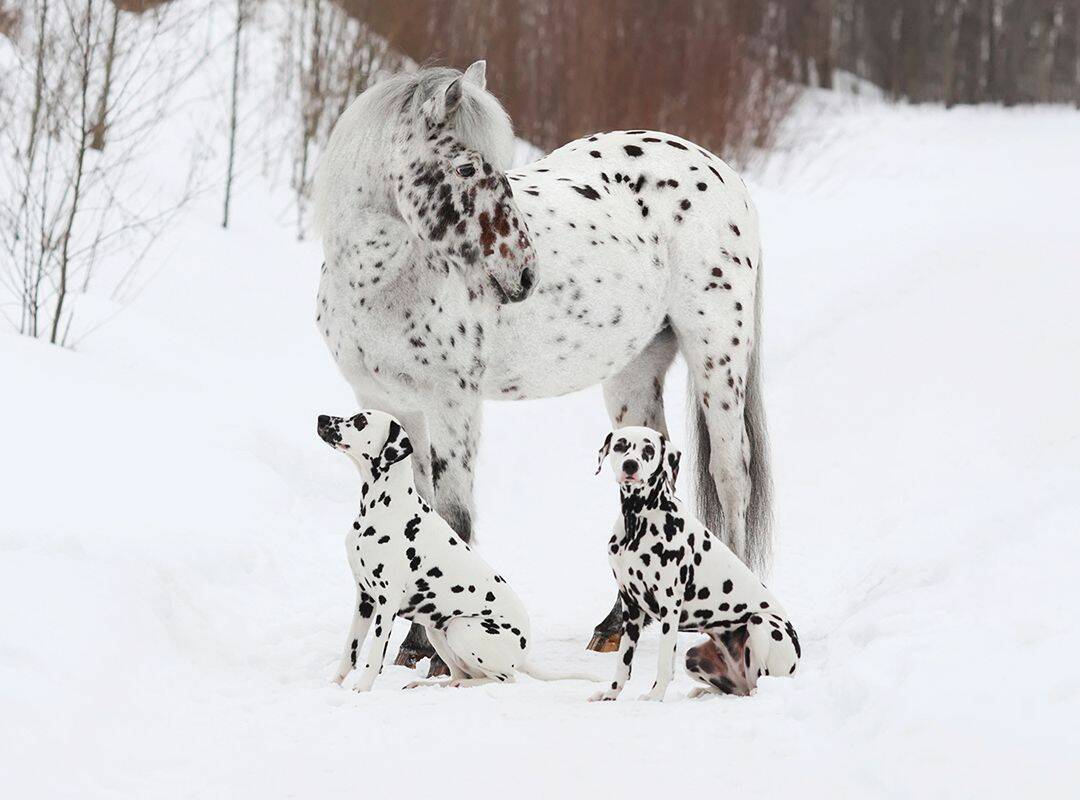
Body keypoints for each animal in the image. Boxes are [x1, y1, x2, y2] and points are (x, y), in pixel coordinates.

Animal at [319, 408, 591, 690]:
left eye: (361, 421)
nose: (321, 418)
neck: (384, 505)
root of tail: (523, 654)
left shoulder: (387, 601)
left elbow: (374, 655)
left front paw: (361, 689)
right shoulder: (365, 599)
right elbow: (350, 651)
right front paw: (334, 685)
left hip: (462, 629)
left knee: (505, 679)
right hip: (436, 630)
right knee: (459, 673)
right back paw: (428, 685)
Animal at [587, 425, 799, 699]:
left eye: (648, 449)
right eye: (620, 445)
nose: (630, 465)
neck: (638, 520)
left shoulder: (669, 607)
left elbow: (664, 662)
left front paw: (654, 697)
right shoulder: (631, 608)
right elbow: (623, 662)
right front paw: (610, 695)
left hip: (761, 624)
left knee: (760, 682)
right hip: (694, 657)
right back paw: (702, 692)